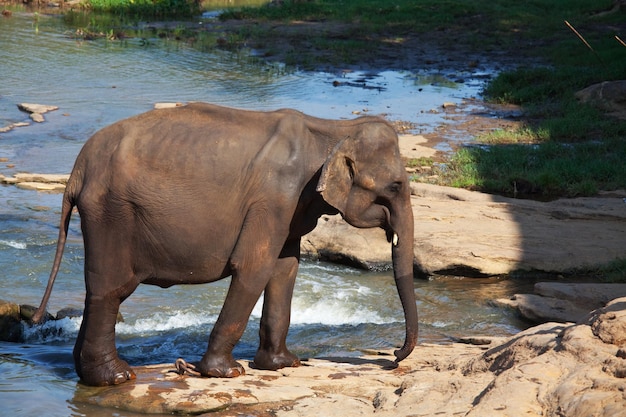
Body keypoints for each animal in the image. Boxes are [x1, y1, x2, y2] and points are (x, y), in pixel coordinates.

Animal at [31, 102, 416, 386]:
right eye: (396, 186)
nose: (394, 357)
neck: (332, 129)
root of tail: (77, 170)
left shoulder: (290, 205)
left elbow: (285, 269)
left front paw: (284, 364)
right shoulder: (274, 198)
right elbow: (254, 268)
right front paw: (227, 372)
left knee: (97, 289)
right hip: (111, 212)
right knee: (111, 289)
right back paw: (116, 377)